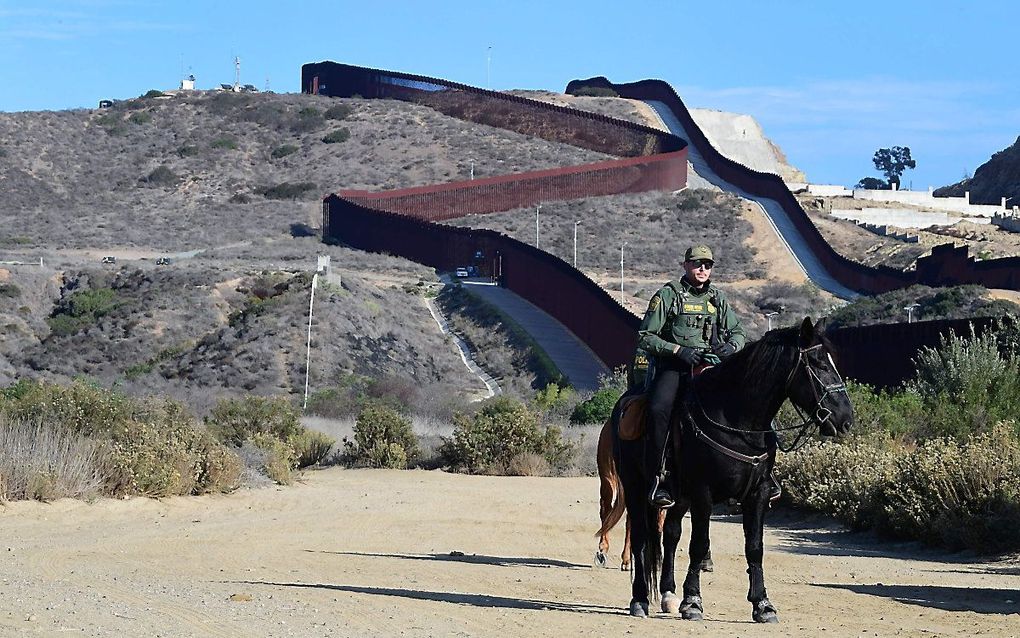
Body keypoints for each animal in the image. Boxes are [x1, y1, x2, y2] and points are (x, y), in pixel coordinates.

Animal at [595, 316, 852, 620]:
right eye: (818, 364)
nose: (846, 419)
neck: (736, 419)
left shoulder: (758, 493)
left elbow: (754, 548)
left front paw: (762, 604)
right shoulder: (703, 493)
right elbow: (698, 545)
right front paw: (693, 602)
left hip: (679, 497)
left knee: (670, 535)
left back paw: (668, 594)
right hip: (635, 486)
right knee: (640, 537)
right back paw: (639, 599)